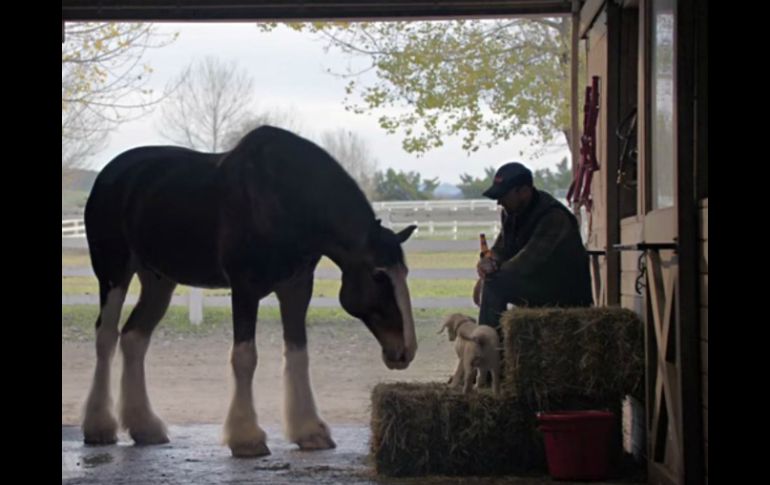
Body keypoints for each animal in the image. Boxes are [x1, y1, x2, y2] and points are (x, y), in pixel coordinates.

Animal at [82, 124, 416, 454]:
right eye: (378, 275)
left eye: (404, 272)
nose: (406, 351)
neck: (284, 199)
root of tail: (108, 175)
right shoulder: (245, 288)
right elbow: (245, 357)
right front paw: (246, 437)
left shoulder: (296, 288)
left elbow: (298, 354)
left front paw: (309, 431)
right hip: (113, 273)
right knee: (106, 337)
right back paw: (99, 427)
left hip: (158, 281)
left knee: (134, 338)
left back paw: (145, 427)